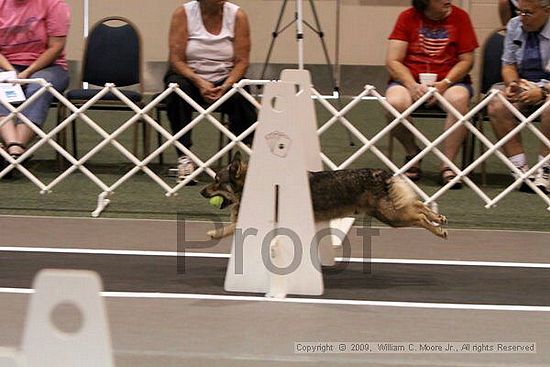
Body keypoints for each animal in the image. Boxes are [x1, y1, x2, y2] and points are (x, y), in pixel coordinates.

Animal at [201, 152, 450, 239]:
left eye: (216, 181)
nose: (202, 192)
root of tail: (383, 173)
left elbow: (228, 229)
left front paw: (213, 233)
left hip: (392, 217)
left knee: (419, 216)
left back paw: (439, 230)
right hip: (391, 213)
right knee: (419, 204)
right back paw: (439, 218)